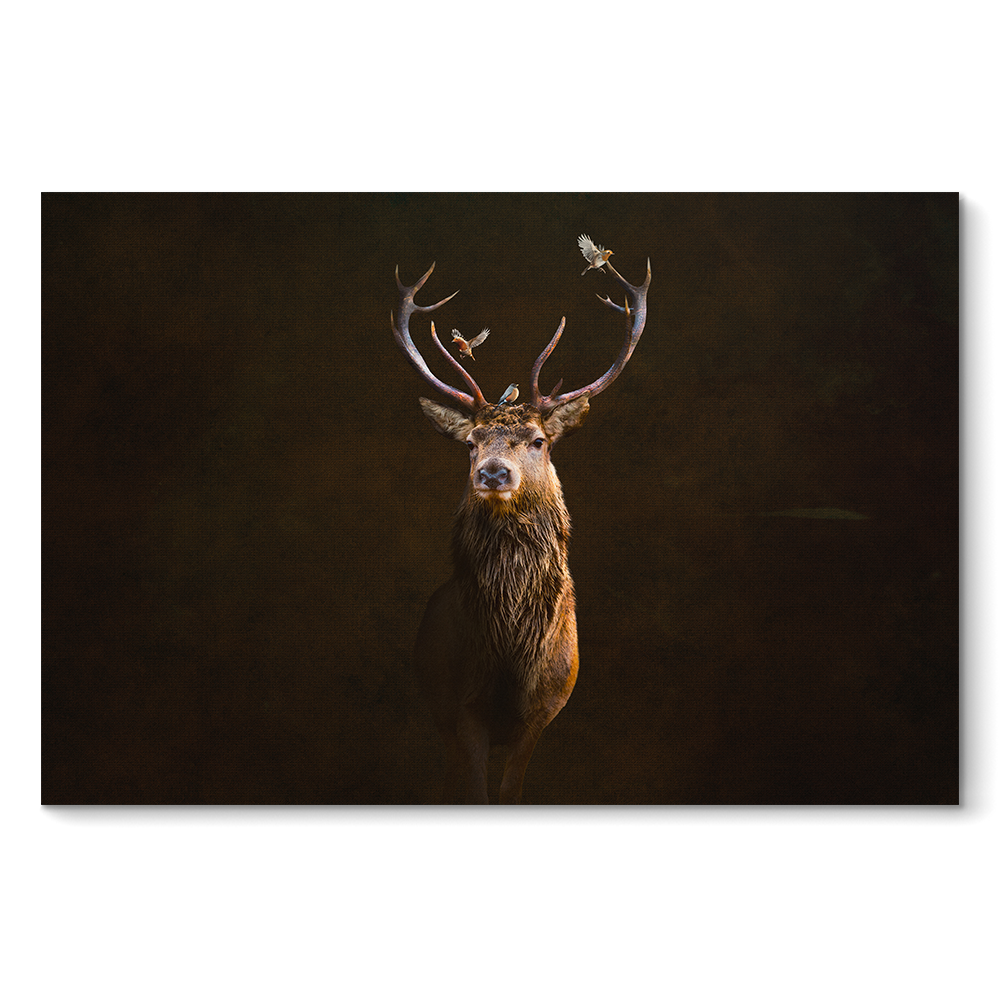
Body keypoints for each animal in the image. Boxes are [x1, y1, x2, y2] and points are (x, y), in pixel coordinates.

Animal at [392, 253, 650, 804]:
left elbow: (510, 791)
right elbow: (473, 790)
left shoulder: (544, 710)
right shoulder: (460, 707)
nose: (493, 472)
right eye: (471, 442)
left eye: (537, 440)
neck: (512, 655)